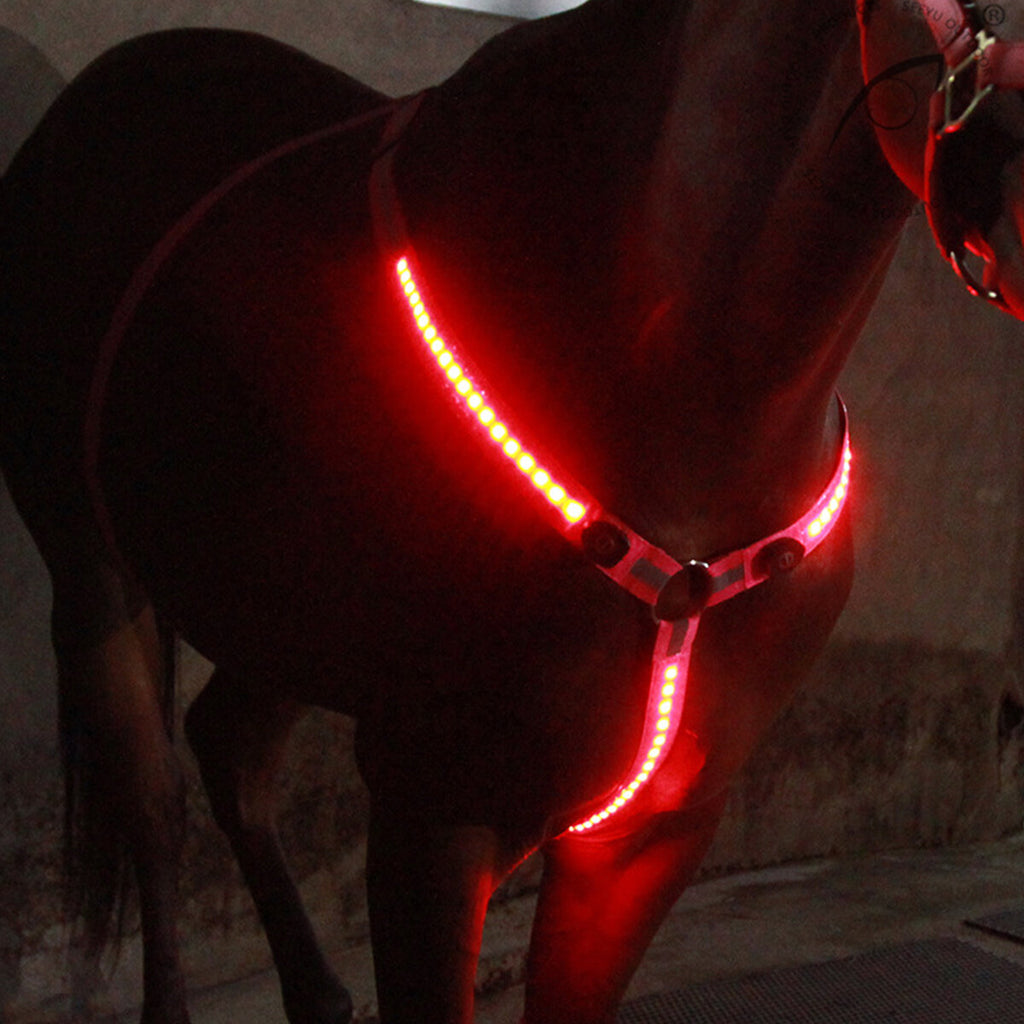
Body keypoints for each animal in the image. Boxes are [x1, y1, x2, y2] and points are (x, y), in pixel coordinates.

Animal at [3, 0, 1023, 1021]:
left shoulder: (652, 837)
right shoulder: (437, 809)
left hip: (280, 615)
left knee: (232, 754)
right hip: (92, 568)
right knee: (154, 801)